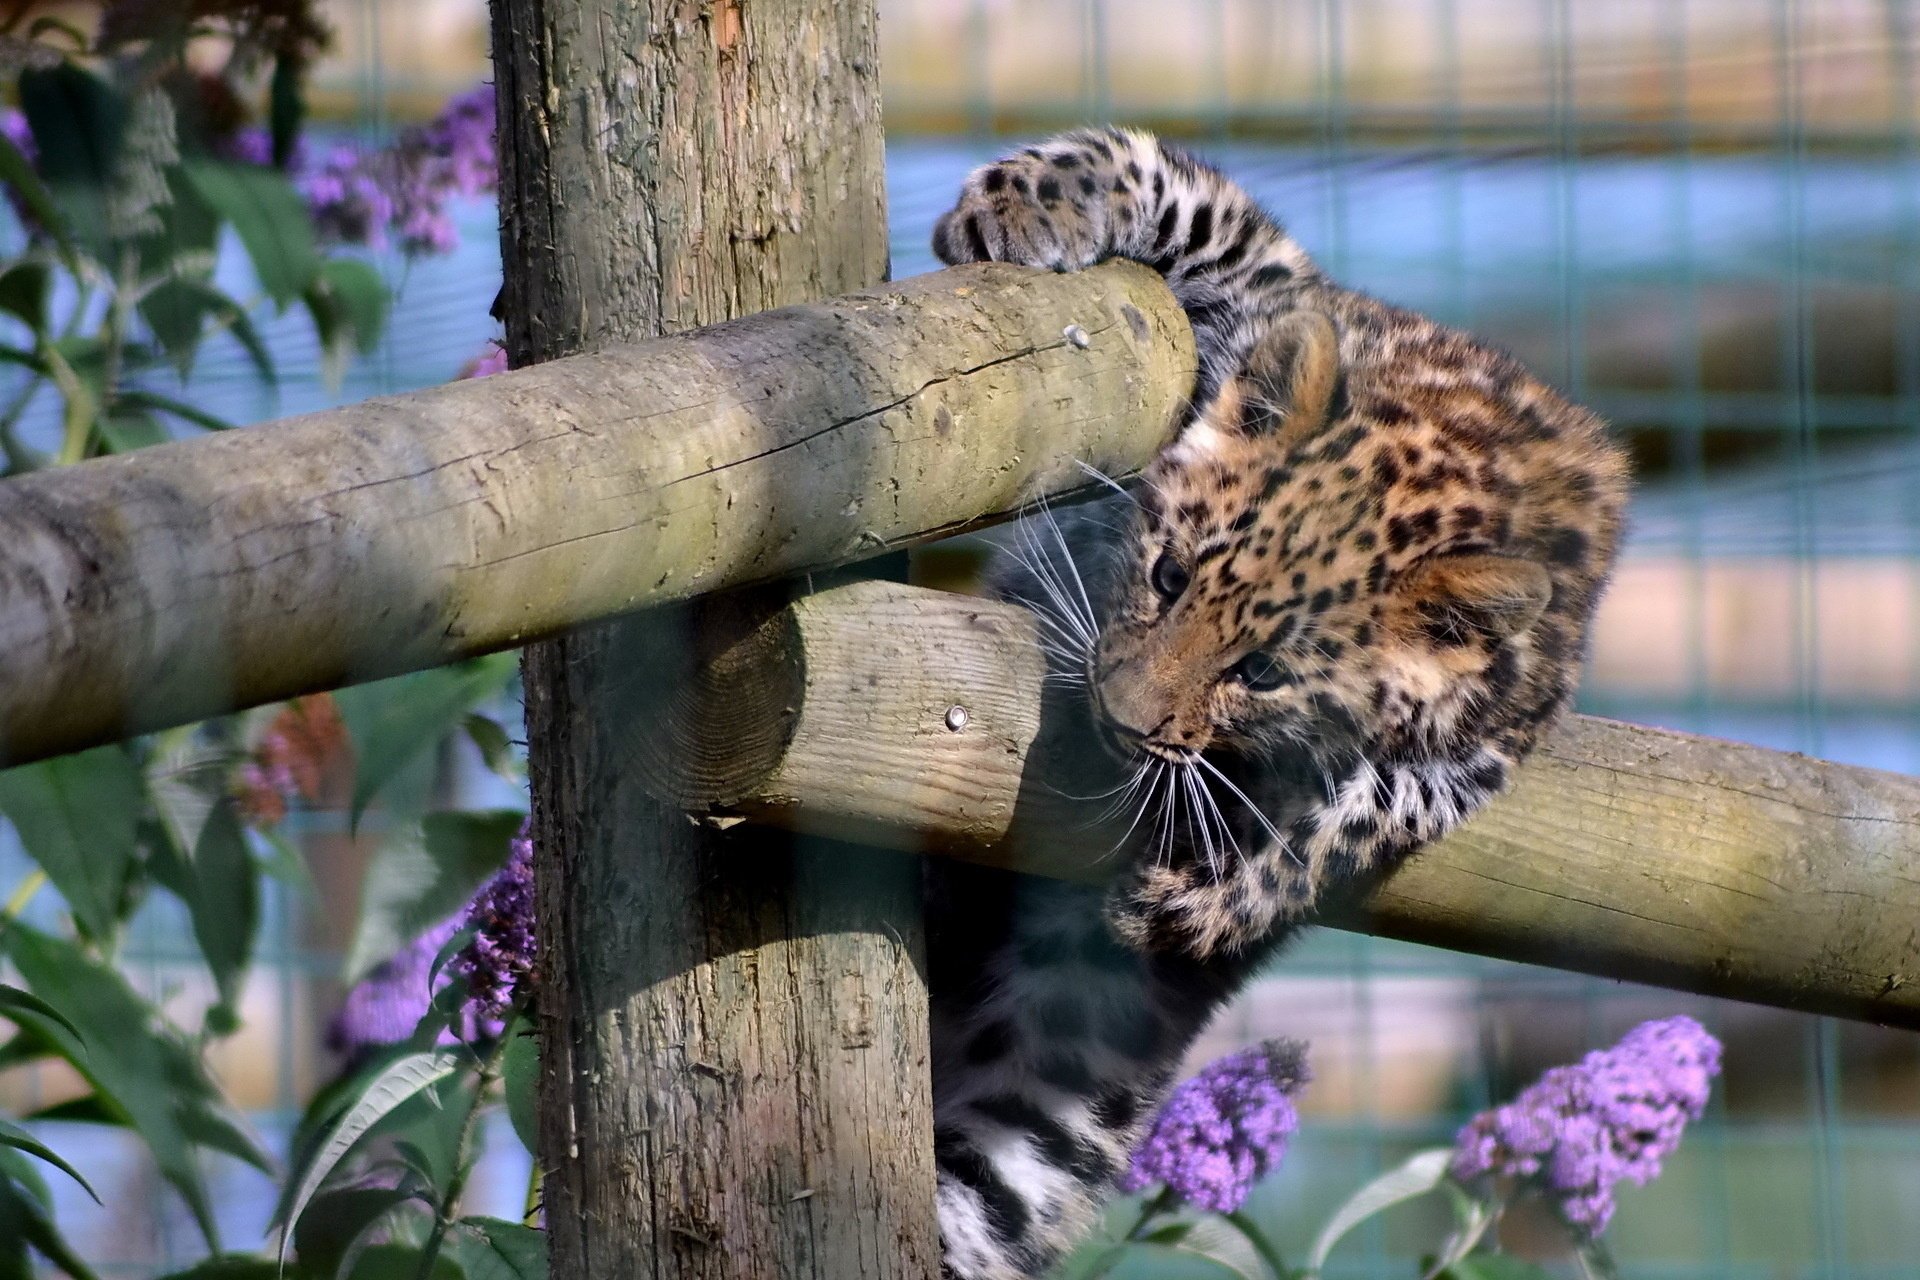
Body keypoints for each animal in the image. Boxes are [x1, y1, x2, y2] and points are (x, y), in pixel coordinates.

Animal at [920, 127, 1630, 1280]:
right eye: (1166, 576)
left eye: (1259, 673)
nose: (1117, 716)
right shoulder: (1270, 292)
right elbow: (1174, 184)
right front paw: (1019, 206)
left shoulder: (1493, 741)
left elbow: (1351, 819)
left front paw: (1211, 895)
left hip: (1056, 1077)